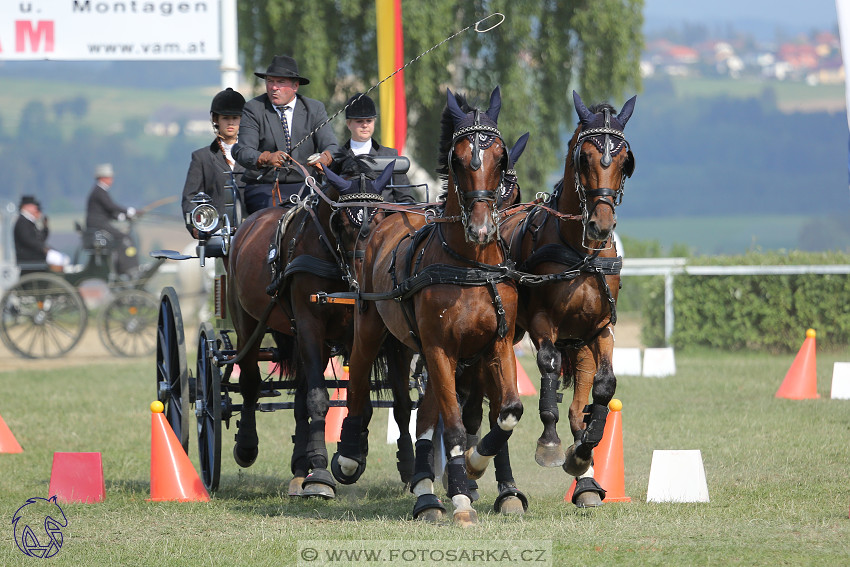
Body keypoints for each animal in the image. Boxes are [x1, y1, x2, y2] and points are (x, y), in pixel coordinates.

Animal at [224, 158, 412, 500]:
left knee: (300, 396)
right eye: (344, 223)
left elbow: (363, 397)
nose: (365, 278)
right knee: (250, 382)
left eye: (381, 218)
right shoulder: (310, 324)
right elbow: (319, 398)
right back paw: (248, 447)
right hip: (248, 323)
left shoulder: (353, 334)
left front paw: (352, 457)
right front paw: (322, 472)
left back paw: (301, 467)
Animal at [332, 87, 524, 528]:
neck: (471, 265)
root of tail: (386, 217)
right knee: (359, 383)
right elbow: (452, 426)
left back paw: (425, 491)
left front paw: (473, 466)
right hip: (372, 327)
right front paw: (463, 497)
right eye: (458, 158)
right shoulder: (439, 348)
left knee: (423, 416)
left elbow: (508, 411)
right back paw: (350, 455)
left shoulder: (497, 344)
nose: (482, 227)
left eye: (501, 157)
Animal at [500, 91, 632, 508]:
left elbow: (603, 388)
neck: (581, 253)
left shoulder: (600, 329)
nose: (601, 225)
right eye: (584, 157)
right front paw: (550, 443)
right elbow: (548, 366)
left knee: (578, 404)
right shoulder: (544, 324)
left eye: (624, 160)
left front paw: (584, 453)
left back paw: (586, 479)